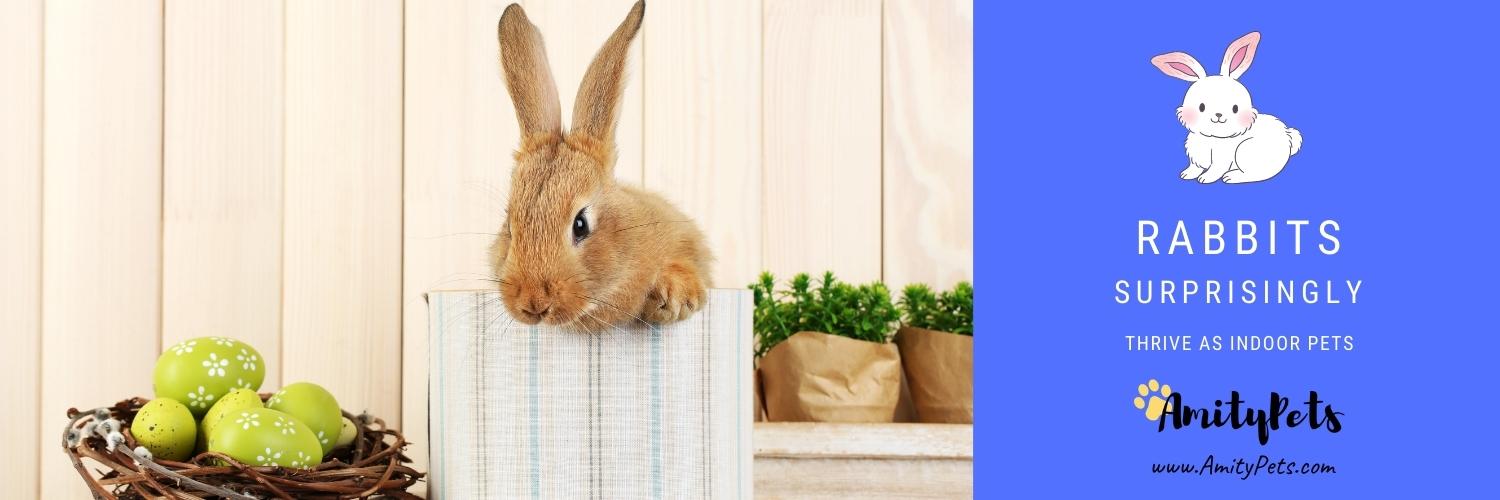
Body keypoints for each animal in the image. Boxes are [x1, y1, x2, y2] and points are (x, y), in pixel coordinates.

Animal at [1152, 32, 1302, 184]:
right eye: (1201, 107)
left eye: (1235, 108)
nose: (1218, 115)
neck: (1212, 138)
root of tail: (1288, 137)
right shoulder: (1195, 156)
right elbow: (1194, 167)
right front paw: (1186, 174)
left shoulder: (1221, 159)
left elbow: (1215, 170)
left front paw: (1204, 178)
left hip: (1246, 152)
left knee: (1256, 174)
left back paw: (1231, 176)